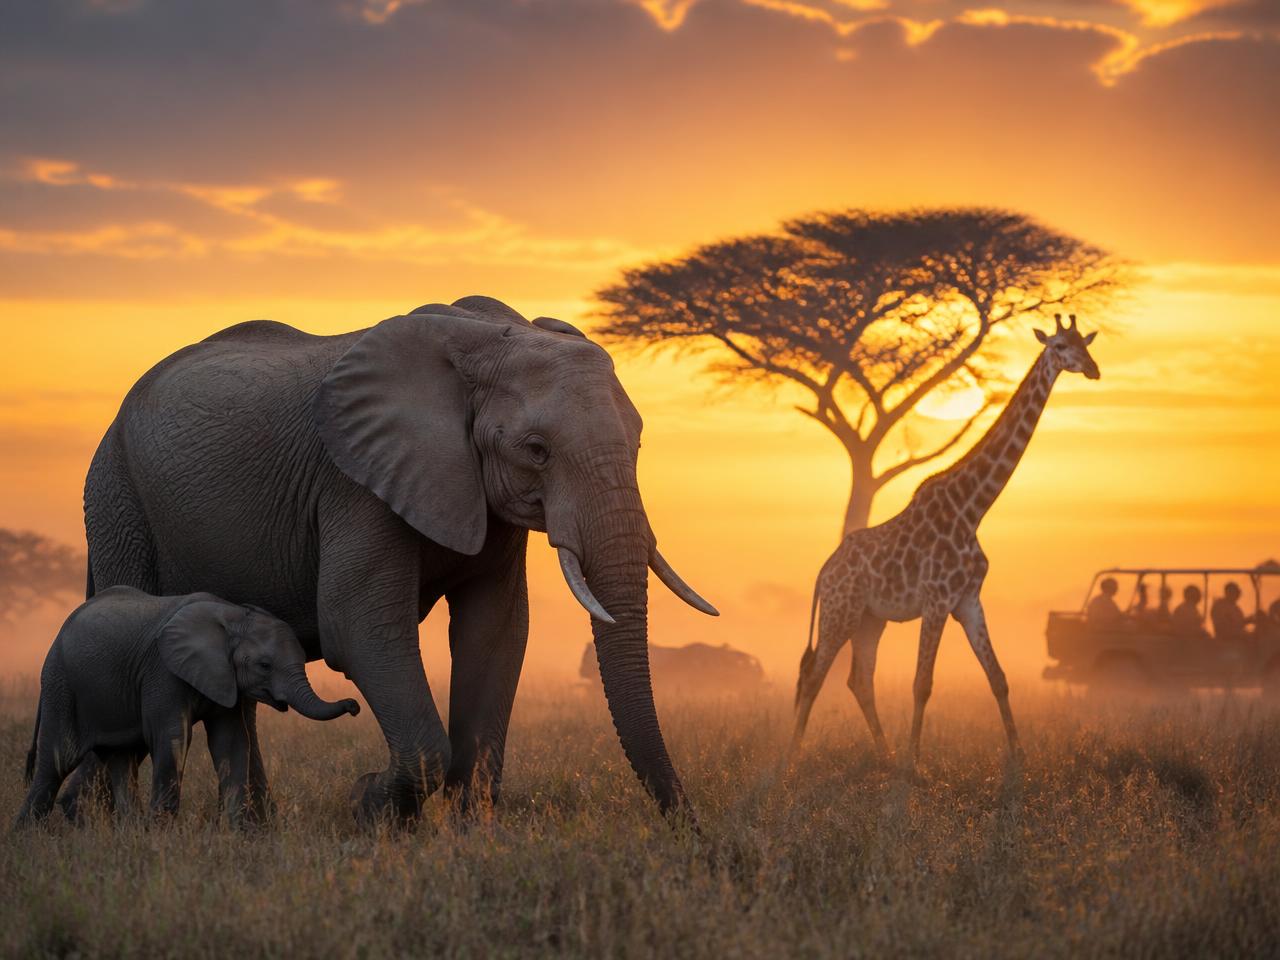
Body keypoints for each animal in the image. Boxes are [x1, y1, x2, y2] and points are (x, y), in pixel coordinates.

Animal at [17, 586, 359, 827]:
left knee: (122, 759)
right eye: (264, 665)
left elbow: (231, 742)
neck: (234, 617)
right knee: (56, 761)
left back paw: (130, 832)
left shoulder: (225, 679)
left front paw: (236, 832)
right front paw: (162, 834)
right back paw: (26, 836)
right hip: (61, 685)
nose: (354, 705)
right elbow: (173, 737)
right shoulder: (162, 671)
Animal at [70, 296, 716, 826]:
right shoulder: (353, 483)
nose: (690, 826)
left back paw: (252, 826)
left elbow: (495, 632)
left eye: (637, 443)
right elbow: (359, 628)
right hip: (117, 497)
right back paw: (102, 823)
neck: (486, 340)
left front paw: (470, 836)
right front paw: (368, 808)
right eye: (536, 451)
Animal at [792, 314, 1100, 765]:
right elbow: (923, 683)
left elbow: (998, 677)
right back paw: (790, 759)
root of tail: (822, 573)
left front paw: (1019, 757)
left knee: (858, 679)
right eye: (1060, 346)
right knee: (814, 675)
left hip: (871, 618)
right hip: (840, 611)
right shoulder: (937, 600)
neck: (972, 508)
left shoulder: (968, 600)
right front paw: (913, 763)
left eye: (1085, 343)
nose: (1093, 369)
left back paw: (883, 754)